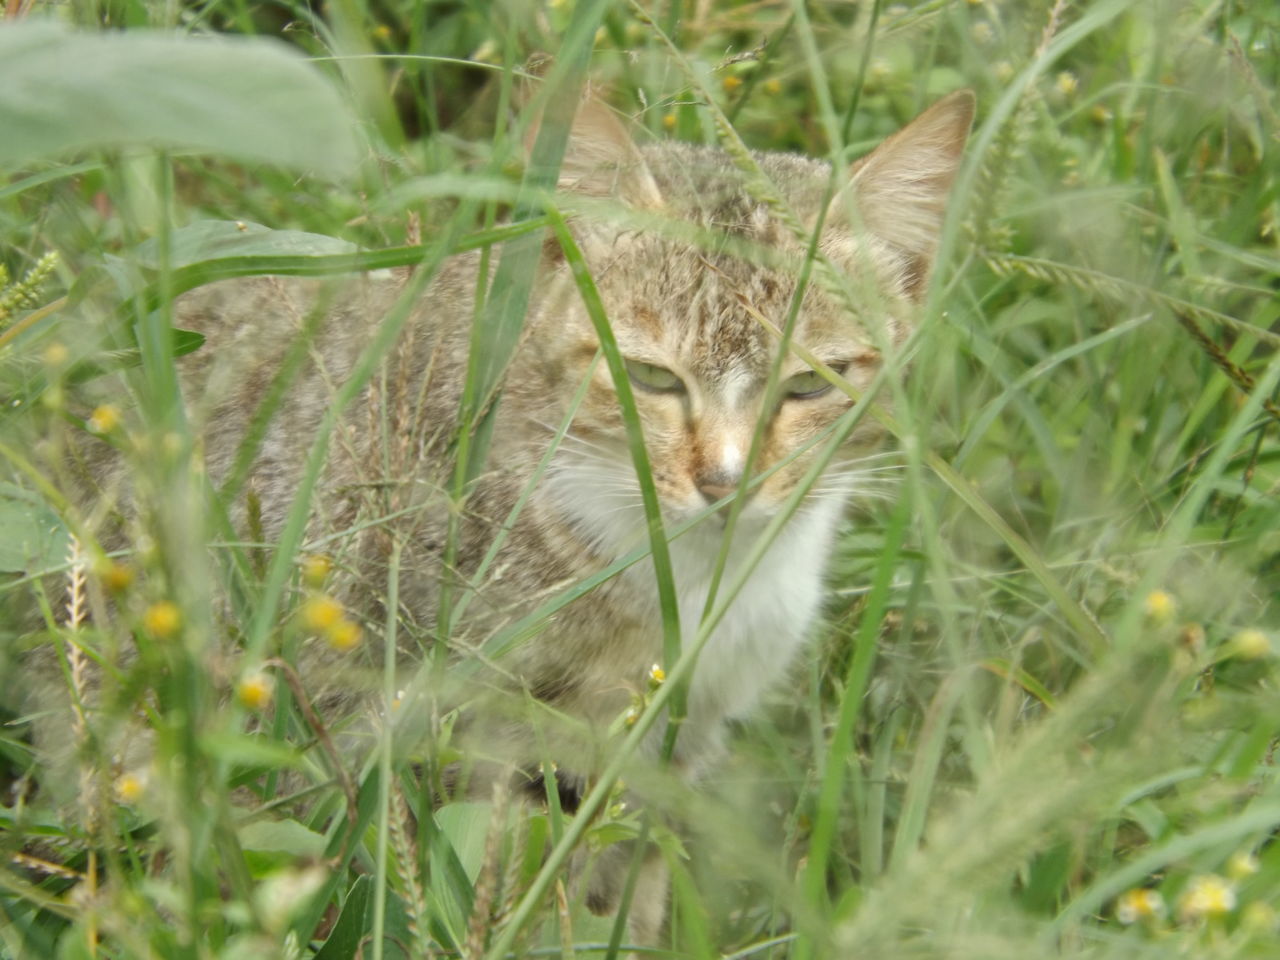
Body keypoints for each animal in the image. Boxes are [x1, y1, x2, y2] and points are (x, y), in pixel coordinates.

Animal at [32, 88, 967, 947]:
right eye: (651, 378)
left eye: (811, 383)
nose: (725, 481)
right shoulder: (489, 732)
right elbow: (523, 882)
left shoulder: (680, 733)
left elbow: (632, 876)